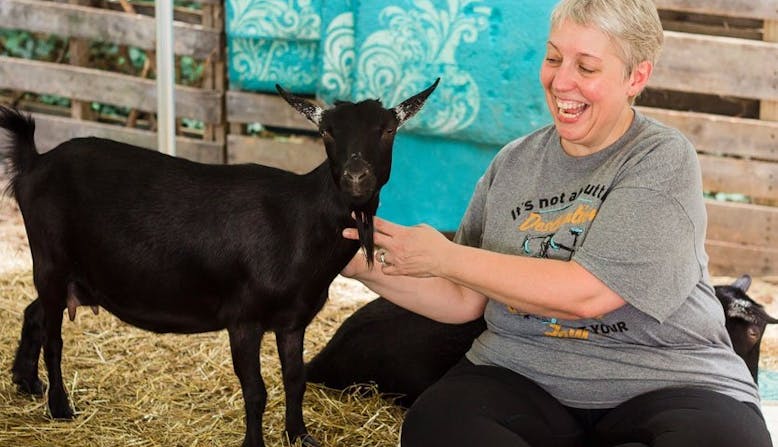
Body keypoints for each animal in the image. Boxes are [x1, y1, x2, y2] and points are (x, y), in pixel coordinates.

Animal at [0, 78, 436, 447]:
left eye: (388, 130)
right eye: (327, 132)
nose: (356, 176)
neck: (300, 222)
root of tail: (34, 163)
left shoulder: (292, 321)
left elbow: (295, 379)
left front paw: (300, 436)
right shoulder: (243, 317)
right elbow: (256, 391)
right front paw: (254, 443)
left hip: (73, 272)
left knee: (34, 313)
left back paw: (26, 382)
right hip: (50, 259)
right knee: (54, 338)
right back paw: (59, 407)